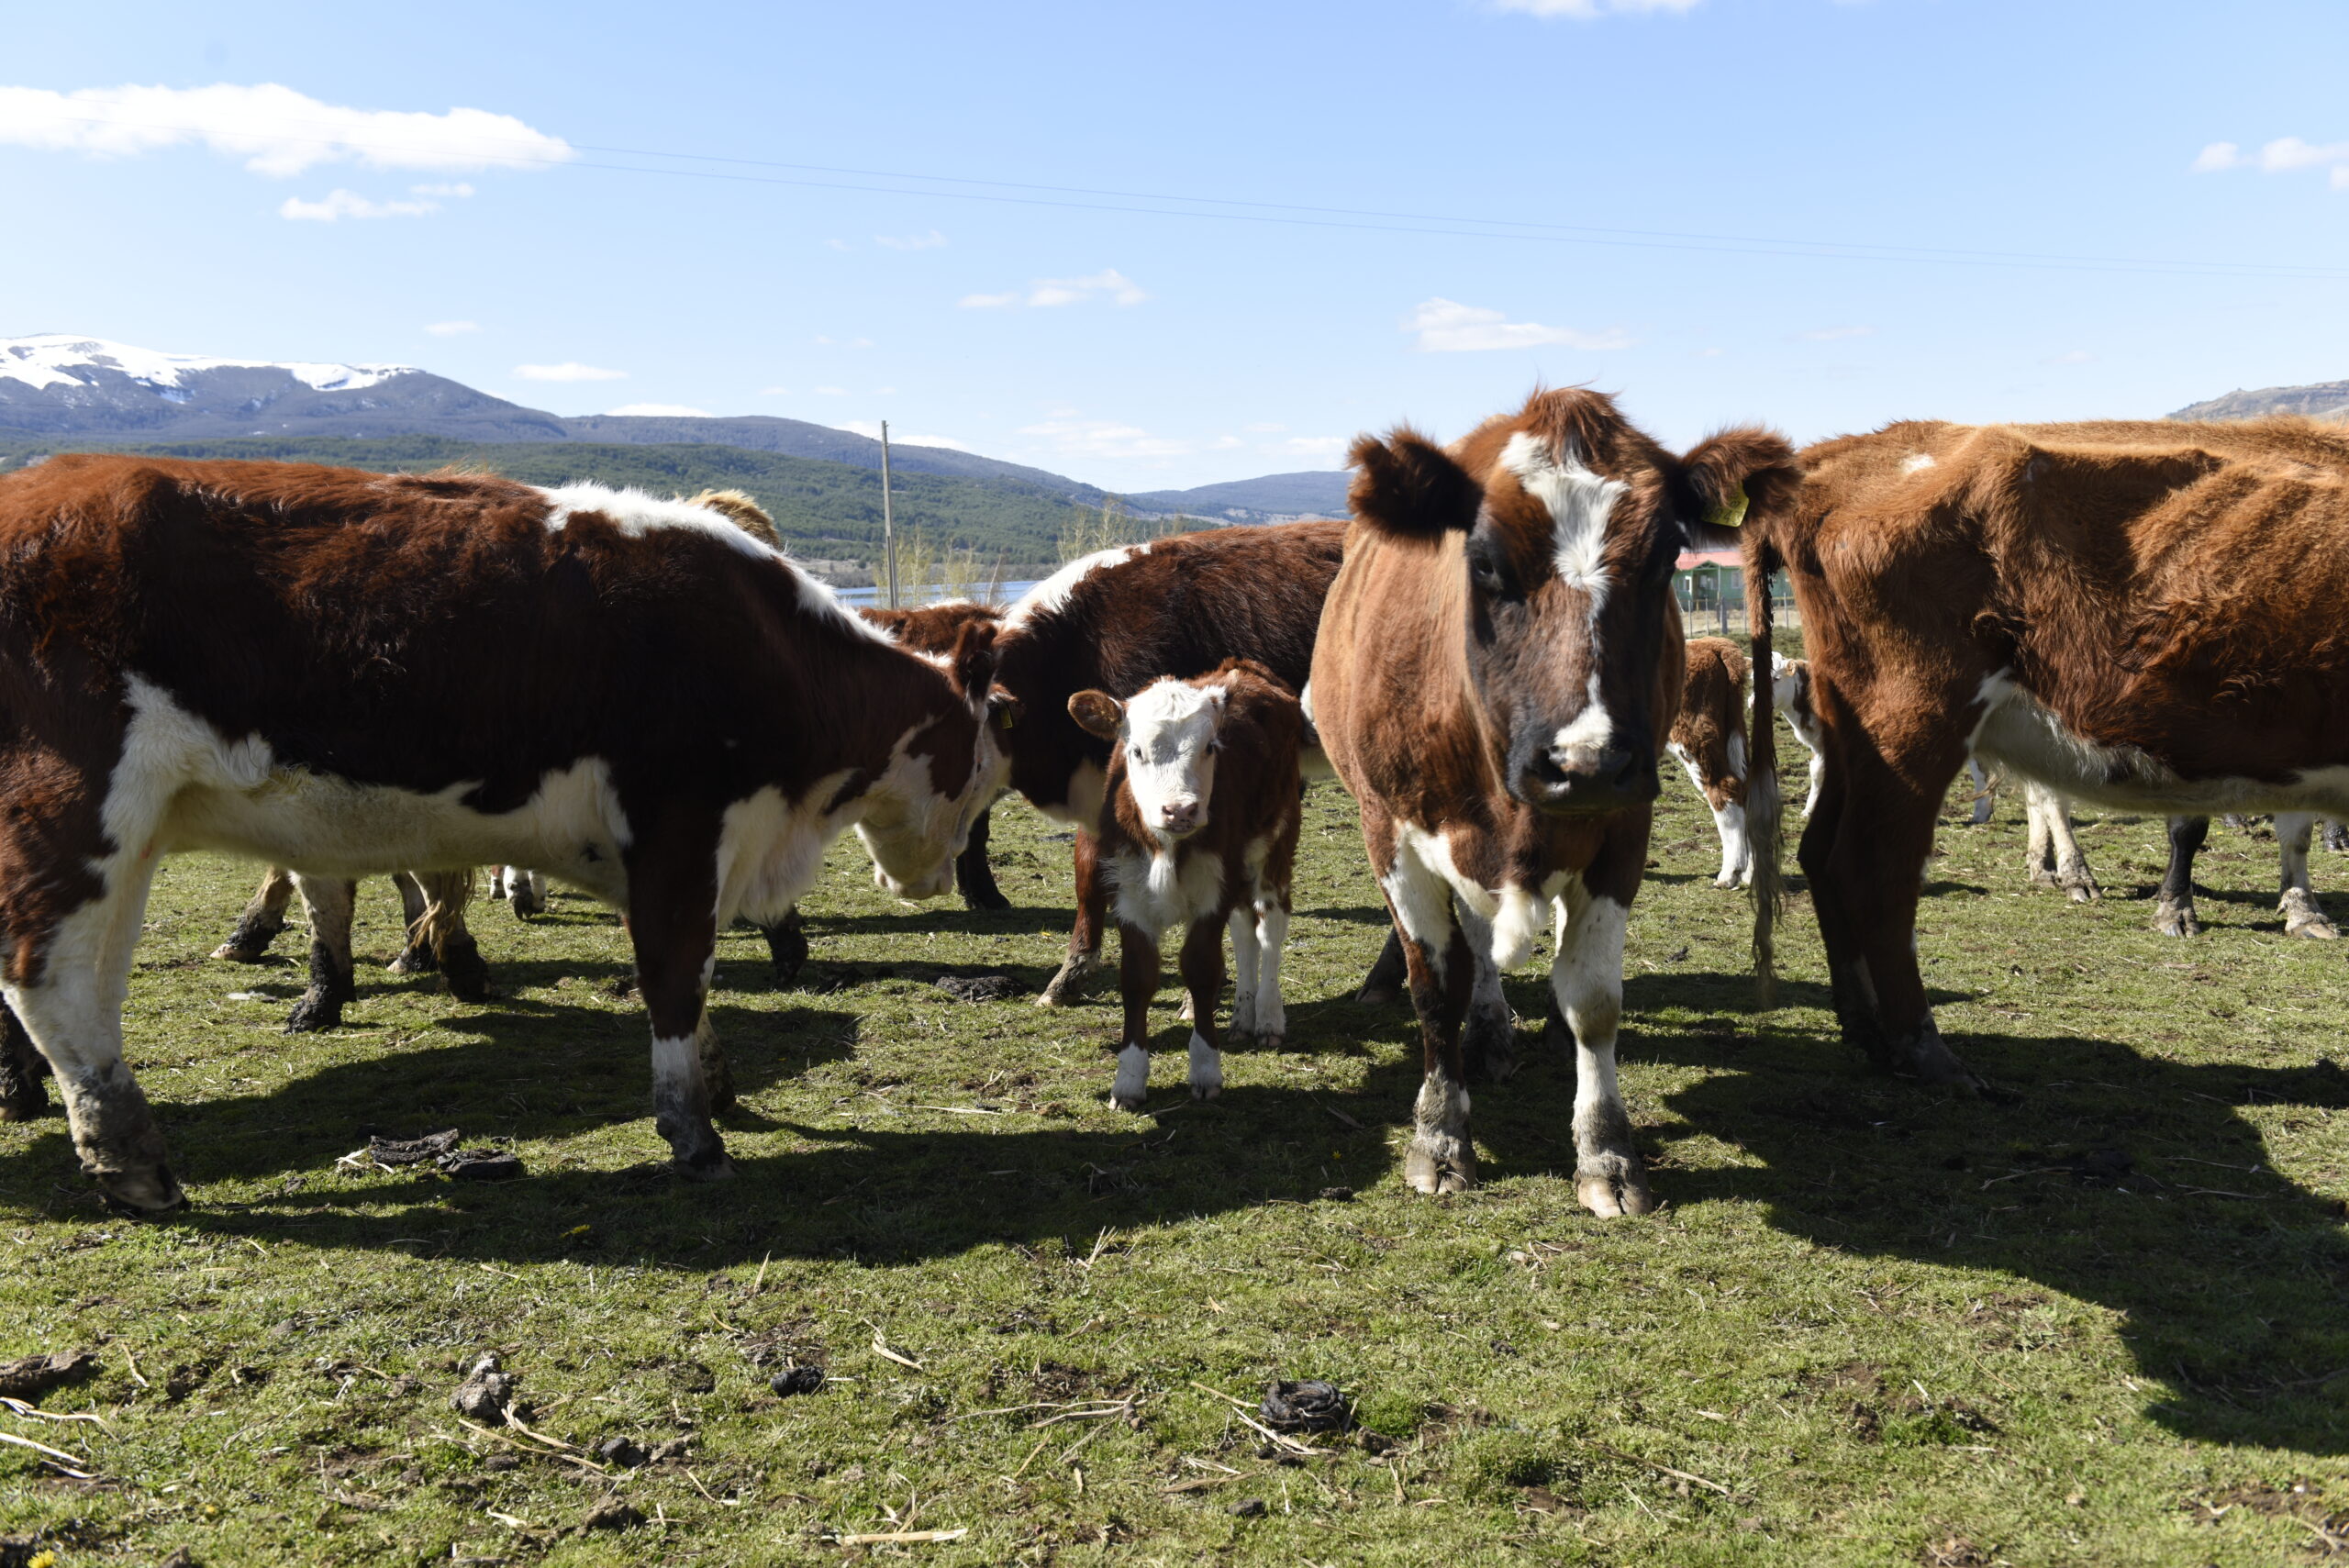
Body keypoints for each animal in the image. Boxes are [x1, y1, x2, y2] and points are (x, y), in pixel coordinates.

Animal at [0, 455, 1004, 1211]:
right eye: (983, 748)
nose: (942, 872)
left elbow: (696, 973)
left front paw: (719, 1084)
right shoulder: (680, 822)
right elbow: (674, 974)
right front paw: (693, 1129)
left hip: (132, 835)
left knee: (91, 987)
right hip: (77, 808)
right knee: (52, 979)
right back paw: (130, 1156)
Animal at [1067, 659, 1303, 1110]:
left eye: (1210, 747)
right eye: (1136, 750)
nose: (1180, 810)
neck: (1168, 849)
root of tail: (1243, 668)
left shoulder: (1212, 894)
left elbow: (1201, 969)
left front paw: (1206, 1070)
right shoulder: (1130, 896)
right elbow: (1138, 977)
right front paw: (1128, 1081)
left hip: (1276, 844)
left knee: (1270, 929)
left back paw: (1267, 1017)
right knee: (1244, 932)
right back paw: (1242, 1016)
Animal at [1739, 416, 2349, 1089]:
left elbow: (2293, 830)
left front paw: (2304, 911)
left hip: (1860, 739)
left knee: (1821, 852)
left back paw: (1867, 1028)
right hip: (1915, 725)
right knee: (1874, 866)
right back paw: (1925, 1047)